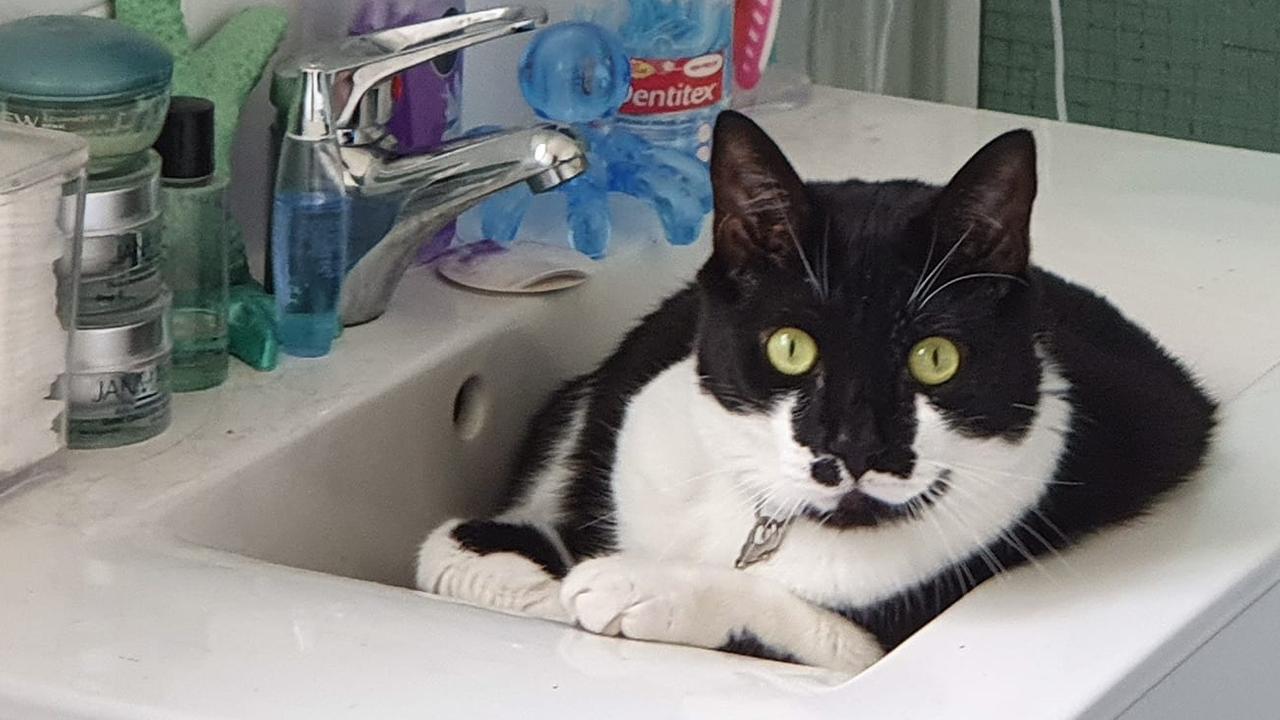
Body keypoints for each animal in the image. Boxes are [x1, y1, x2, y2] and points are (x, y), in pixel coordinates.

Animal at [414, 109, 1213, 671]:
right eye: (791, 348)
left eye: (935, 358)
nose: (853, 447)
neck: (770, 522)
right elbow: (442, 550)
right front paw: (528, 574)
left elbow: (807, 627)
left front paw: (634, 588)